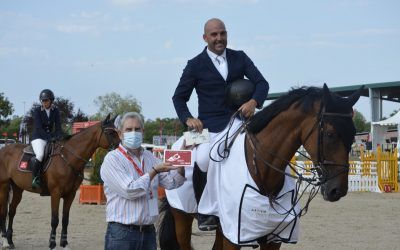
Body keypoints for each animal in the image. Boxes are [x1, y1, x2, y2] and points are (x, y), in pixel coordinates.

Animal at [0, 114, 119, 249]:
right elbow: (55, 219)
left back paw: (10, 241)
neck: (68, 158)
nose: (120, 147)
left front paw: (64, 244)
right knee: (3, 212)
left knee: (11, 211)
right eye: (110, 132)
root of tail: (4, 150)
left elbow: (65, 219)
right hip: (4, 186)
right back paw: (5, 241)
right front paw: (52, 243)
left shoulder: (70, 194)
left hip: (17, 188)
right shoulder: (55, 193)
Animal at [159, 84, 362, 250]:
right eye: (330, 134)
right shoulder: (234, 235)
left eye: (353, 133)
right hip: (181, 217)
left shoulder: (273, 237)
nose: (338, 190)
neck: (264, 170)